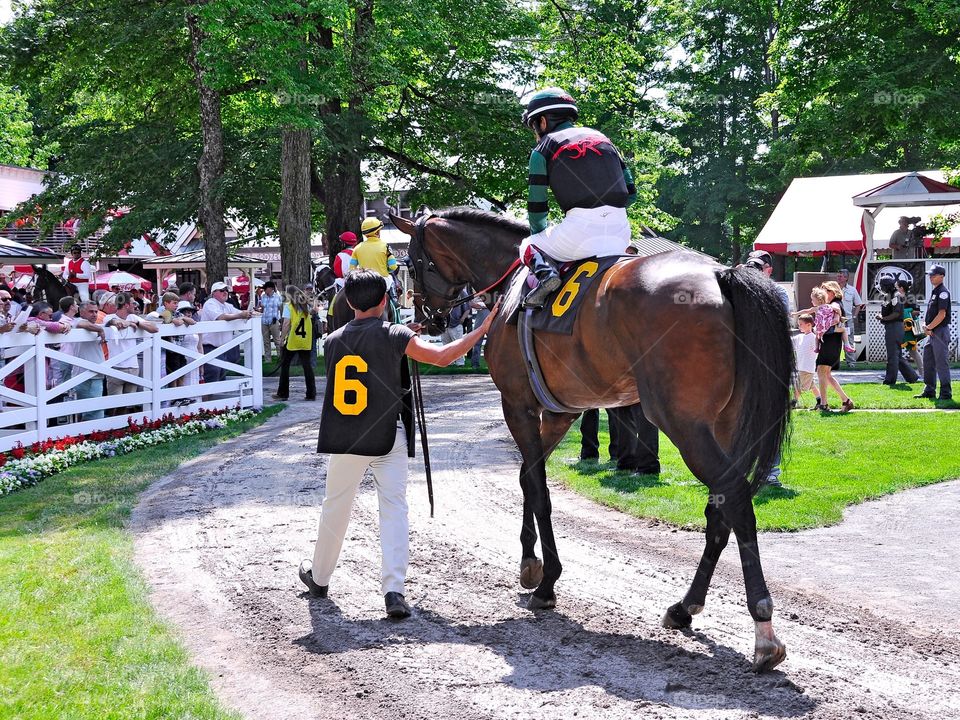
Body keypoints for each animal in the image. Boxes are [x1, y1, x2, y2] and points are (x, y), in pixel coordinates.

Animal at [392, 208, 796, 676]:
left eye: (412, 263)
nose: (431, 317)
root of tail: (720, 273)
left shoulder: (518, 405)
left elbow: (539, 489)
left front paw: (546, 582)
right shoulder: (559, 413)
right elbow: (527, 478)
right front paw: (530, 563)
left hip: (685, 424)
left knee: (735, 499)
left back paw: (763, 631)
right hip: (725, 425)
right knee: (720, 509)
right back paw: (684, 607)